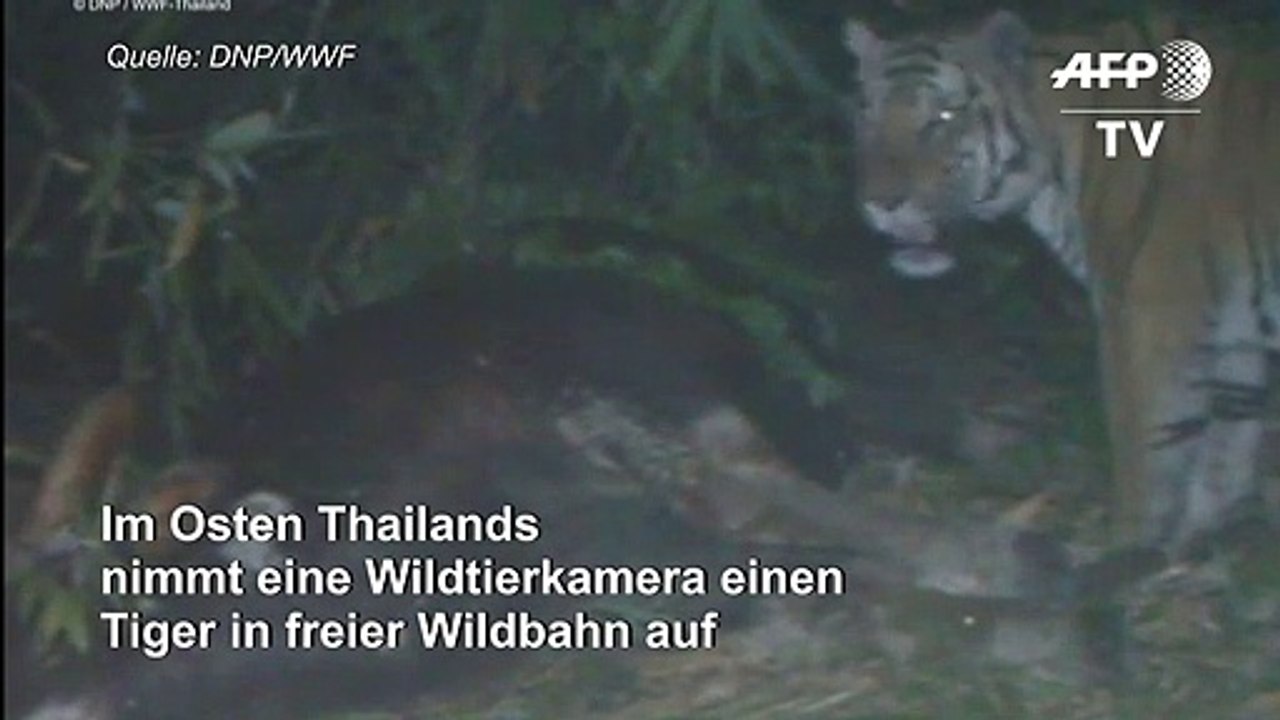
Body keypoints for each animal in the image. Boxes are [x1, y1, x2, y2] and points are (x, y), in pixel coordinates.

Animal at [841, 9, 1279, 554]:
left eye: (942, 117)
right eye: (868, 114)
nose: (880, 203)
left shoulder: (1146, 320)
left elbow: (1147, 455)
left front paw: (1127, 552)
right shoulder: (1235, 343)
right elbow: (1223, 463)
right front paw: (1189, 551)